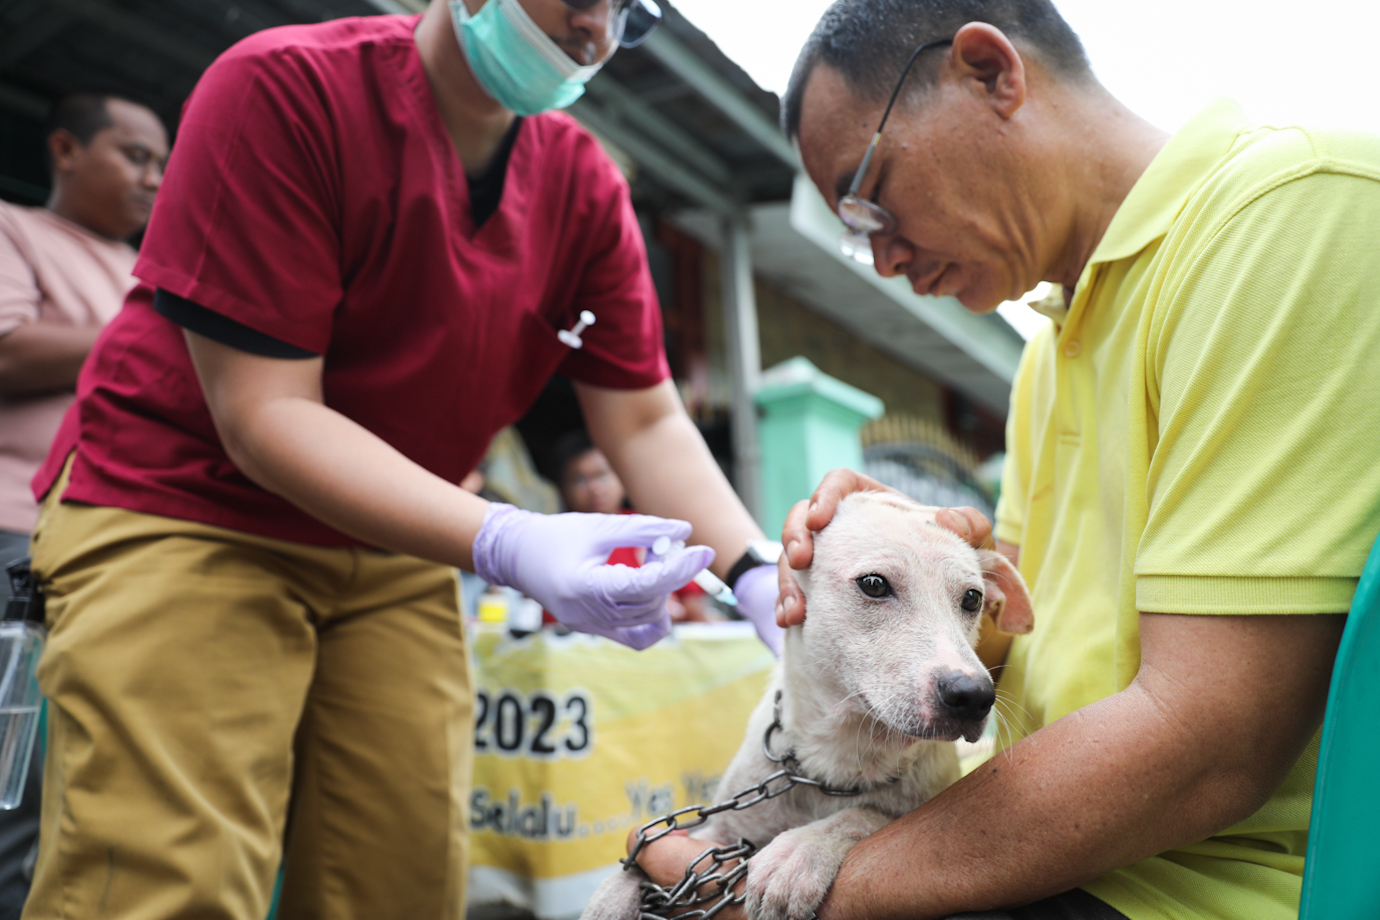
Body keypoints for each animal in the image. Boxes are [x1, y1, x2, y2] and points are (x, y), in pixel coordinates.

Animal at [576, 493, 1032, 920]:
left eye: (972, 598)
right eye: (874, 584)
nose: (973, 696)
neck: (837, 760)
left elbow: (867, 813)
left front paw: (801, 849)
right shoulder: (716, 832)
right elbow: (633, 869)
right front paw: (610, 898)